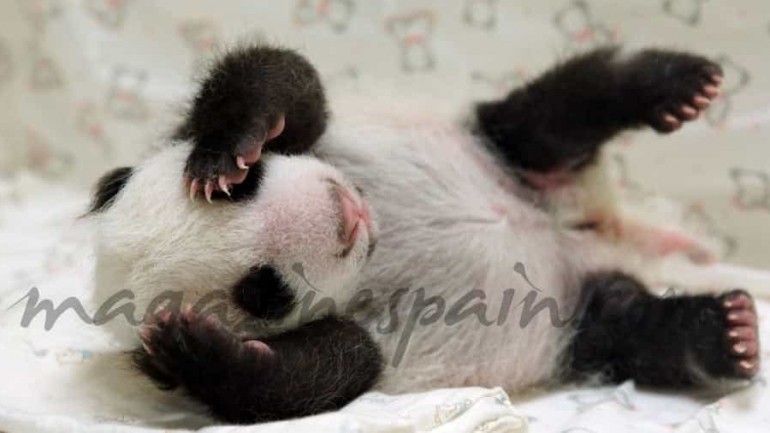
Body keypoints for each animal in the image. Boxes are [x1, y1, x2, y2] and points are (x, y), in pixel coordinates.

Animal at [90, 44, 760, 424]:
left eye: (251, 186)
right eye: (263, 291)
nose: (341, 216)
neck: (377, 241)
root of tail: (595, 233)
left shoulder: (322, 139)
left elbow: (284, 82)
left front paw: (227, 148)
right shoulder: (355, 337)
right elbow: (316, 377)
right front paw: (191, 351)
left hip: (498, 148)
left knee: (556, 111)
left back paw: (676, 86)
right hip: (575, 323)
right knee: (628, 327)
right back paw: (726, 333)